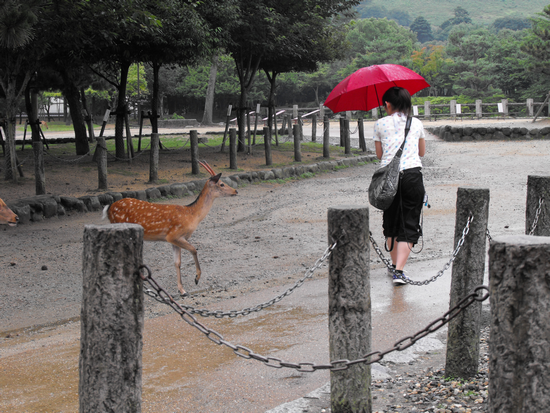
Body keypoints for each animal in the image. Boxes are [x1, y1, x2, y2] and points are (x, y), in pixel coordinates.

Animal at [104, 161, 238, 296]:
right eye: (221, 184)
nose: (236, 191)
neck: (191, 215)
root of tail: (109, 208)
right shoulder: (174, 235)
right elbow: (194, 250)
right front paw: (196, 278)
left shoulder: (174, 240)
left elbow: (177, 263)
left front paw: (182, 290)